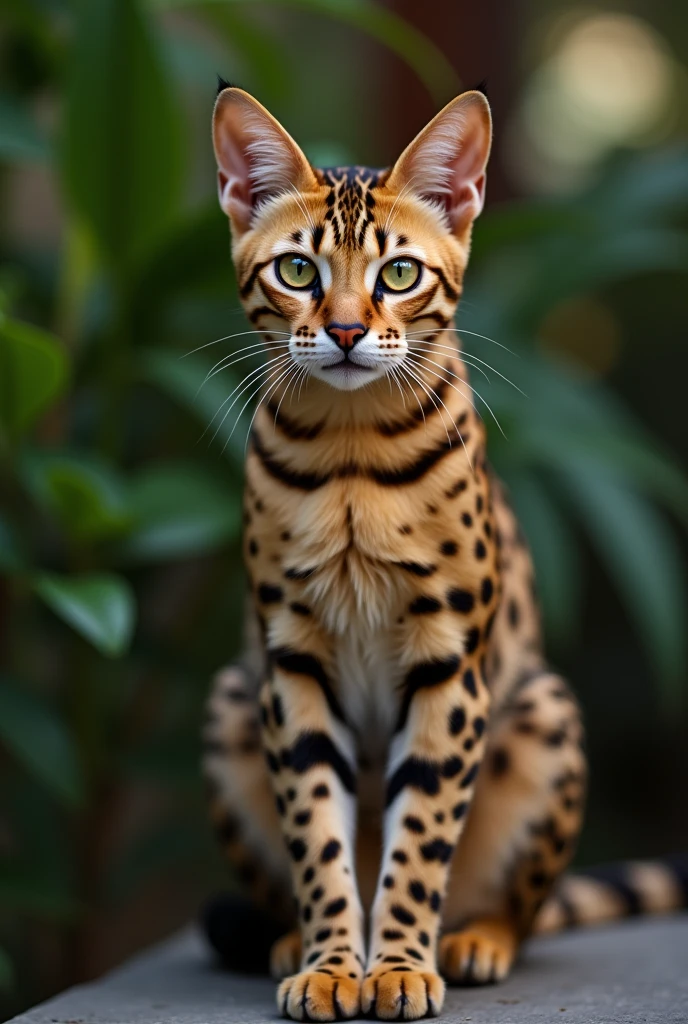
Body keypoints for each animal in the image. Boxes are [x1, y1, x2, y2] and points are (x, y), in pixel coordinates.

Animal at [201, 83, 683, 1019]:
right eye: (298, 271)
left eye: (398, 274)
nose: (346, 332)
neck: (351, 457)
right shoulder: (291, 661)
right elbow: (318, 836)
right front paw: (332, 965)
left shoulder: (448, 658)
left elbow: (419, 837)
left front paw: (395, 966)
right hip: (233, 699)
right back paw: (291, 941)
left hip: (544, 712)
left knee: (519, 911)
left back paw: (472, 940)